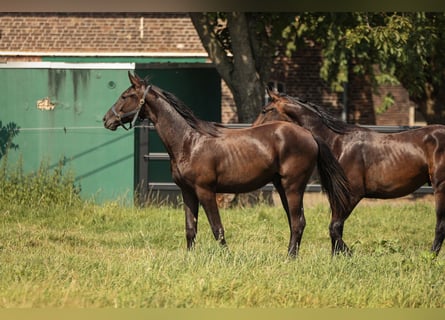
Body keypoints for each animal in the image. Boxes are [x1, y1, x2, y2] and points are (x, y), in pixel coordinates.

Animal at [102, 71, 348, 256]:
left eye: (125, 95)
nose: (107, 120)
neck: (189, 142)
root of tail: (309, 135)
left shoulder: (205, 191)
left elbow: (217, 228)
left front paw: (227, 257)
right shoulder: (187, 192)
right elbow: (190, 228)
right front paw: (189, 258)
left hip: (293, 186)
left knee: (298, 222)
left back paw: (290, 258)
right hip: (281, 186)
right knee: (295, 221)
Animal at [253, 89, 444, 256]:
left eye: (265, 110)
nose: (253, 130)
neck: (339, 143)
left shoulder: (352, 194)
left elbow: (334, 228)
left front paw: (348, 255)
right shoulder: (337, 196)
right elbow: (336, 227)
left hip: (440, 187)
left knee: (440, 225)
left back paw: (431, 256)